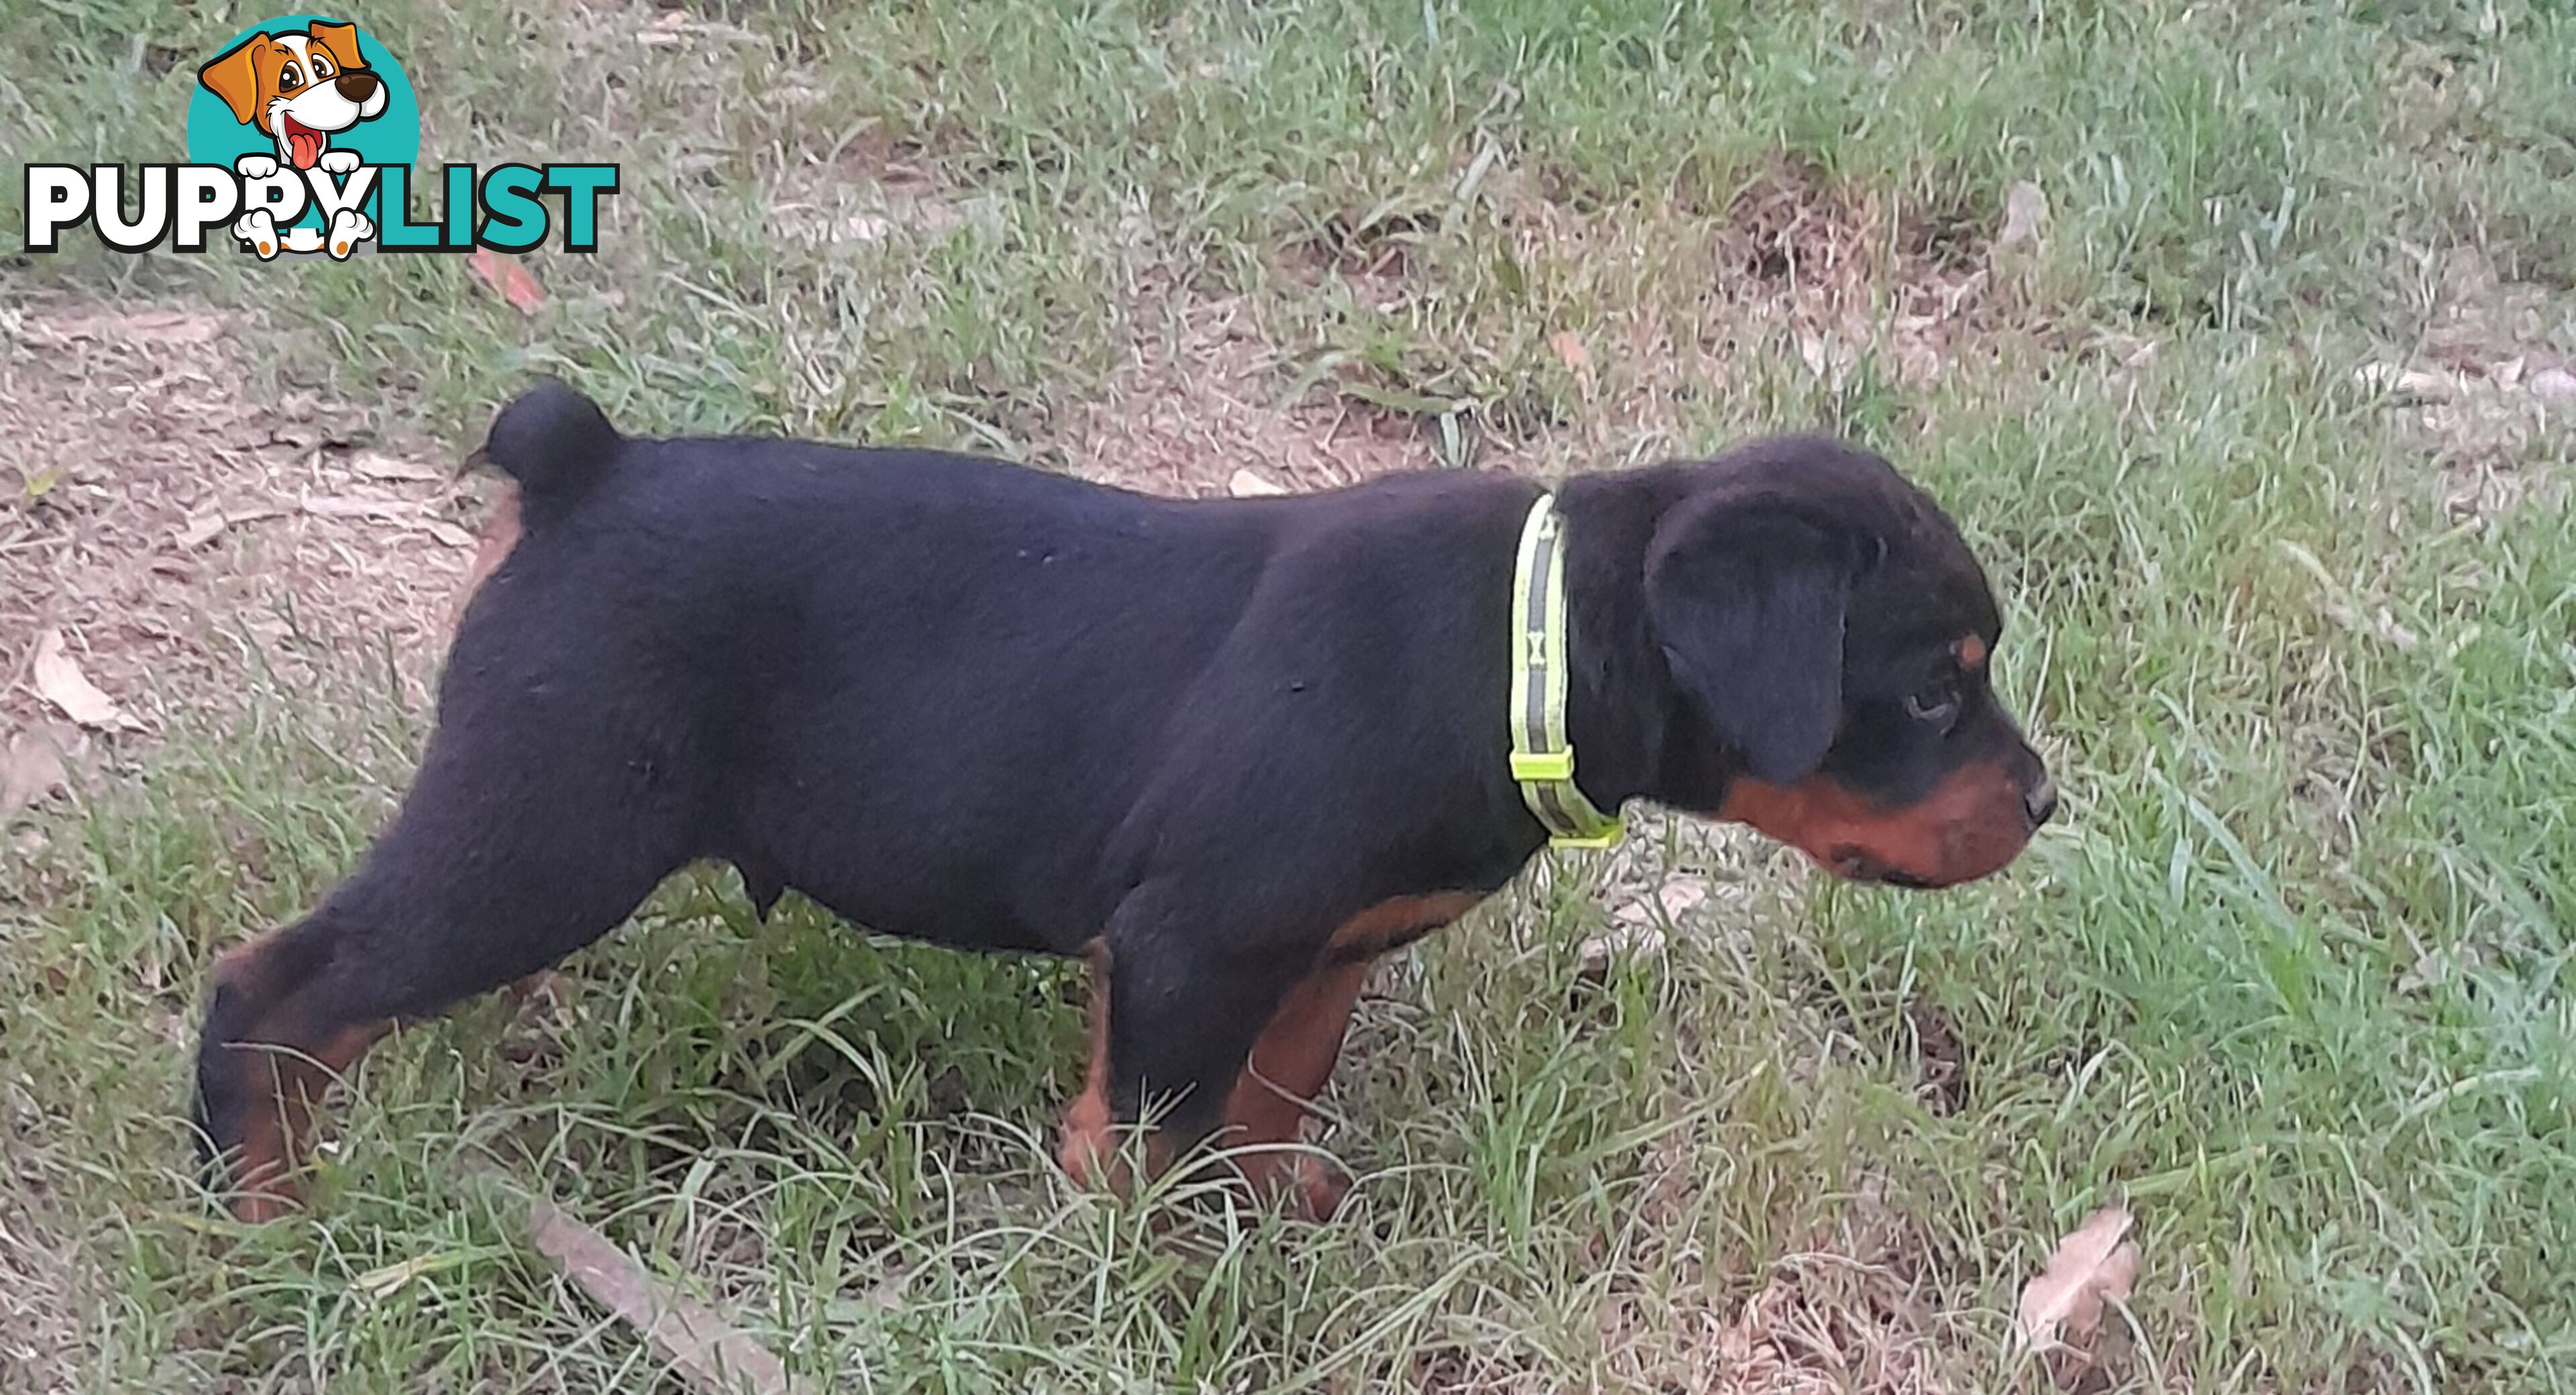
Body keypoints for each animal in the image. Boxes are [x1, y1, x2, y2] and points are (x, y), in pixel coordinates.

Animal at [191, 383, 2050, 1225]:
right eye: (1931, 687)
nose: (2042, 800)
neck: (1520, 647)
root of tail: (583, 463)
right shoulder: (1190, 940)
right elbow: (1143, 1133)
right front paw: (1143, 1274)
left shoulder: (1312, 948)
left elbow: (1274, 1091)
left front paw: (1278, 1212)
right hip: (548, 823)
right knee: (281, 983)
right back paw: (260, 1208)